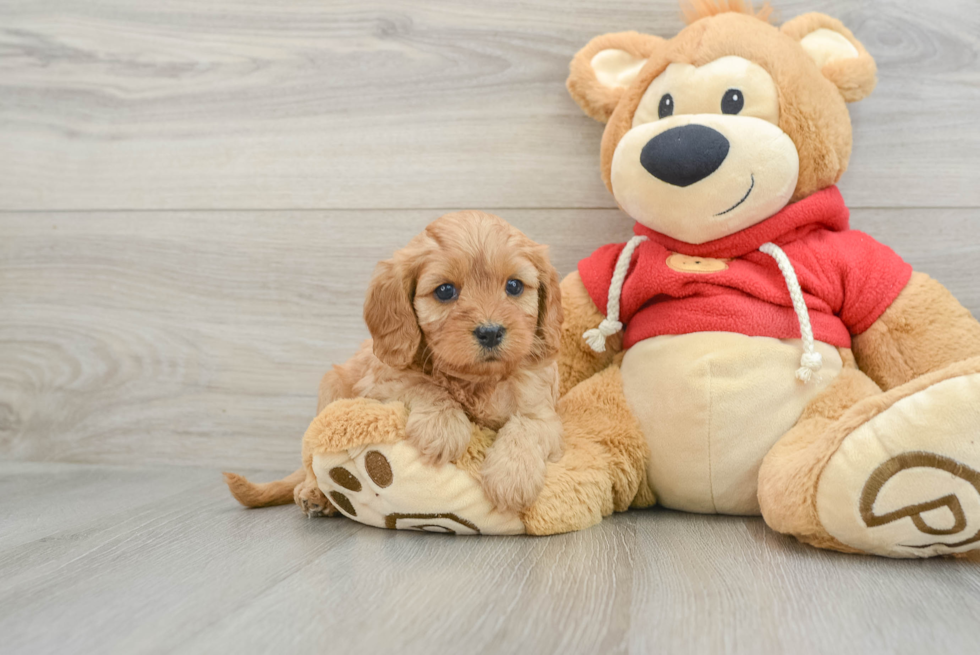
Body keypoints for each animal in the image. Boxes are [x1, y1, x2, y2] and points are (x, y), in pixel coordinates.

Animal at [226, 213, 564, 516]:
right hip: (330, 390)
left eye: (514, 286)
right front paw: (442, 426)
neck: (475, 379)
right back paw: (316, 494)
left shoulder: (545, 411)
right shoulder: (380, 382)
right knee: (312, 463)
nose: (490, 332)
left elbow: (528, 426)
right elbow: (423, 384)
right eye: (445, 291)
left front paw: (512, 477)